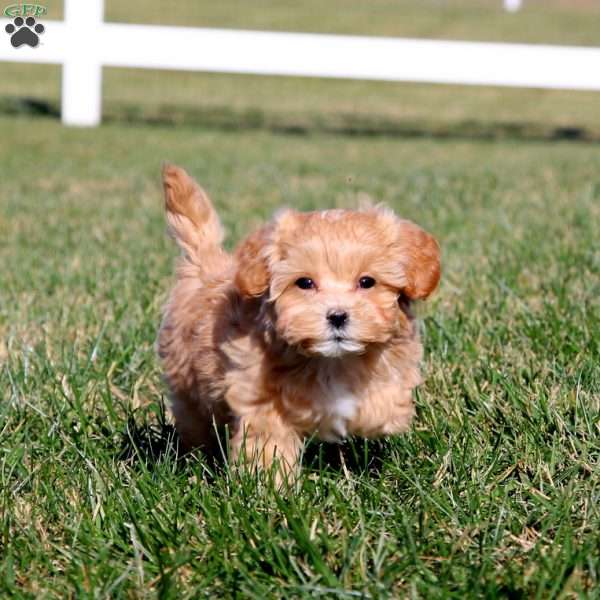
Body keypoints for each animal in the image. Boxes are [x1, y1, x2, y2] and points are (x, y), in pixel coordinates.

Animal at [159, 166, 440, 480]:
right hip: (187, 379)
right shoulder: (258, 393)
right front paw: (268, 483)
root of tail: (206, 265)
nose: (337, 315)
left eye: (367, 282)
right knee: (194, 418)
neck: (333, 360)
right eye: (304, 283)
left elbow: (383, 400)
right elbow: (268, 442)